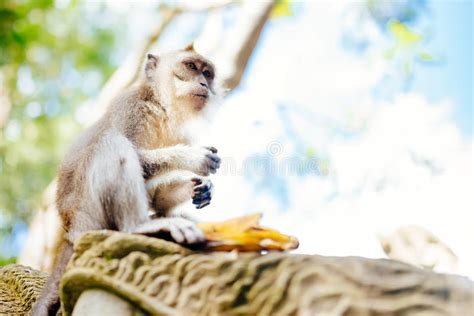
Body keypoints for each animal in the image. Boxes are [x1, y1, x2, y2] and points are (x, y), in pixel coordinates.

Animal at [31, 43, 222, 314]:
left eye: (207, 73)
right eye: (191, 67)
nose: (204, 83)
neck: (161, 107)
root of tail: (71, 230)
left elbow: (157, 196)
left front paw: (202, 187)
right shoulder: (132, 107)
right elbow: (137, 156)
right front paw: (193, 158)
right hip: (91, 214)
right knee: (113, 142)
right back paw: (139, 226)